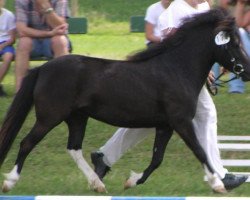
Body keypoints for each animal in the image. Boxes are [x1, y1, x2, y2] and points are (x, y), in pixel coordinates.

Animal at [0, 8, 250, 194]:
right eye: (235, 43)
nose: (246, 71)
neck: (176, 69)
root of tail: (42, 68)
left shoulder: (165, 126)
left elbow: (157, 159)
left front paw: (131, 181)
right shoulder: (181, 122)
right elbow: (199, 150)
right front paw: (218, 184)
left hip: (77, 118)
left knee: (74, 149)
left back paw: (98, 184)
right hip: (49, 117)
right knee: (26, 143)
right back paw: (10, 182)